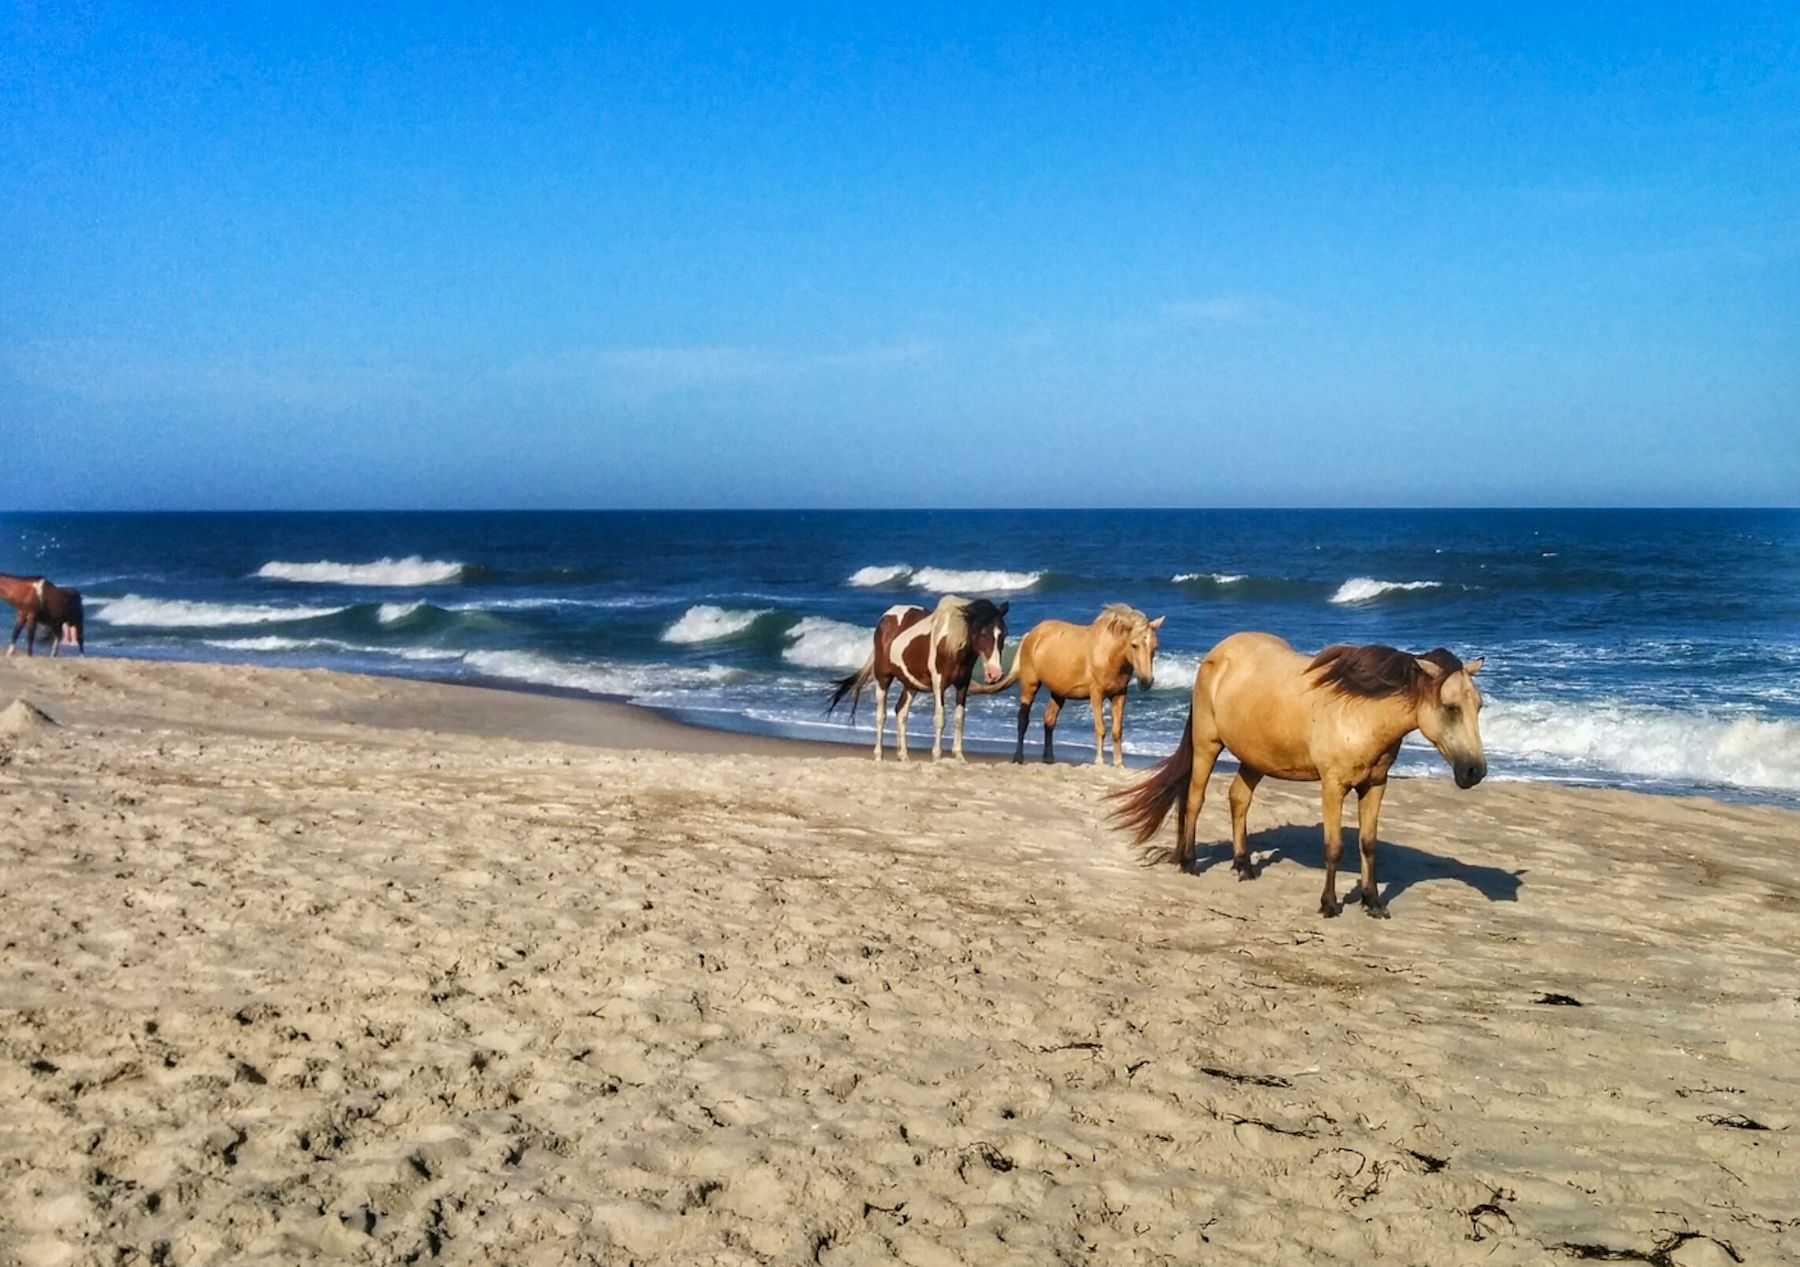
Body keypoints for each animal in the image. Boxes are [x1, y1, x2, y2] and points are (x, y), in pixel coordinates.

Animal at [826, 595, 1009, 761]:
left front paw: (959, 756)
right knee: (881, 715)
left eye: (1004, 635)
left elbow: (959, 718)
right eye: (983, 633)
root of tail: (885, 617)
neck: (950, 642)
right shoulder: (939, 684)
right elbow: (940, 718)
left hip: (911, 684)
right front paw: (936, 756)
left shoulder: (963, 684)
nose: (994, 674)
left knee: (901, 712)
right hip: (883, 677)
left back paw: (903, 755)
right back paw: (878, 755)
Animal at [974, 604, 1164, 766]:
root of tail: (1032, 634)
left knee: (1049, 720)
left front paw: (1119, 764)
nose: (1146, 682)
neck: (1109, 654)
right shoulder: (1096, 694)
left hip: (1058, 693)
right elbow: (1101, 728)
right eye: (1134, 644)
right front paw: (1099, 762)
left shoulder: (1119, 695)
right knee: (1023, 719)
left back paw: (1049, 759)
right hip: (1030, 684)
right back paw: (1018, 757)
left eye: (1154, 647)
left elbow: (1117, 731)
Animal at [1110, 632, 1486, 918]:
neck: (1359, 711)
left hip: (1255, 758)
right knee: (1194, 800)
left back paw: (1244, 866)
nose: (1475, 771)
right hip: (1206, 745)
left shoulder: (1375, 785)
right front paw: (1329, 904)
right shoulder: (1333, 786)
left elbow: (1368, 845)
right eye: (1450, 707)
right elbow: (1334, 846)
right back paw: (1189, 863)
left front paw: (1373, 902)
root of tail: (1216, 654)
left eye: (1479, 706)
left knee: (1238, 799)